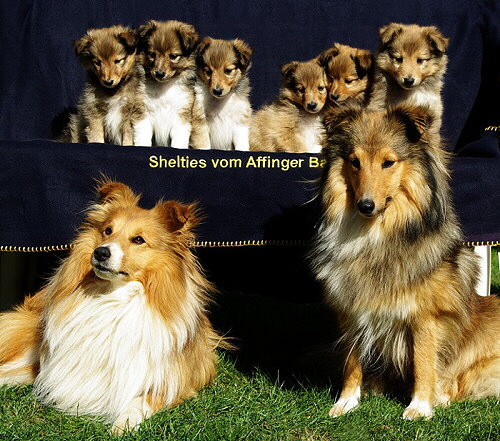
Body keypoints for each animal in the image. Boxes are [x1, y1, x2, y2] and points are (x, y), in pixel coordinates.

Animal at [0, 180, 223, 434]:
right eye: (108, 230)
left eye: (139, 239)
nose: (100, 252)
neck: (113, 298)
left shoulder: (171, 382)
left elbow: (138, 402)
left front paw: (121, 425)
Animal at [135, 19, 203, 148]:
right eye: (152, 54)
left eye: (173, 56)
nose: (159, 73)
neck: (164, 87)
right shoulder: (143, 111)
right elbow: (143, 135)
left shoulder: (182, 114)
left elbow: (179, 139)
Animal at [312, 103, 500, 420]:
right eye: (354, 162)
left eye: (388, 162)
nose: (365, 205)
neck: (375, 235)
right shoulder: (351, 310)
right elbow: (352, 362)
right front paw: (346, 403)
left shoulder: (425, 316)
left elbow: (423, 362)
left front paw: (419, 408)